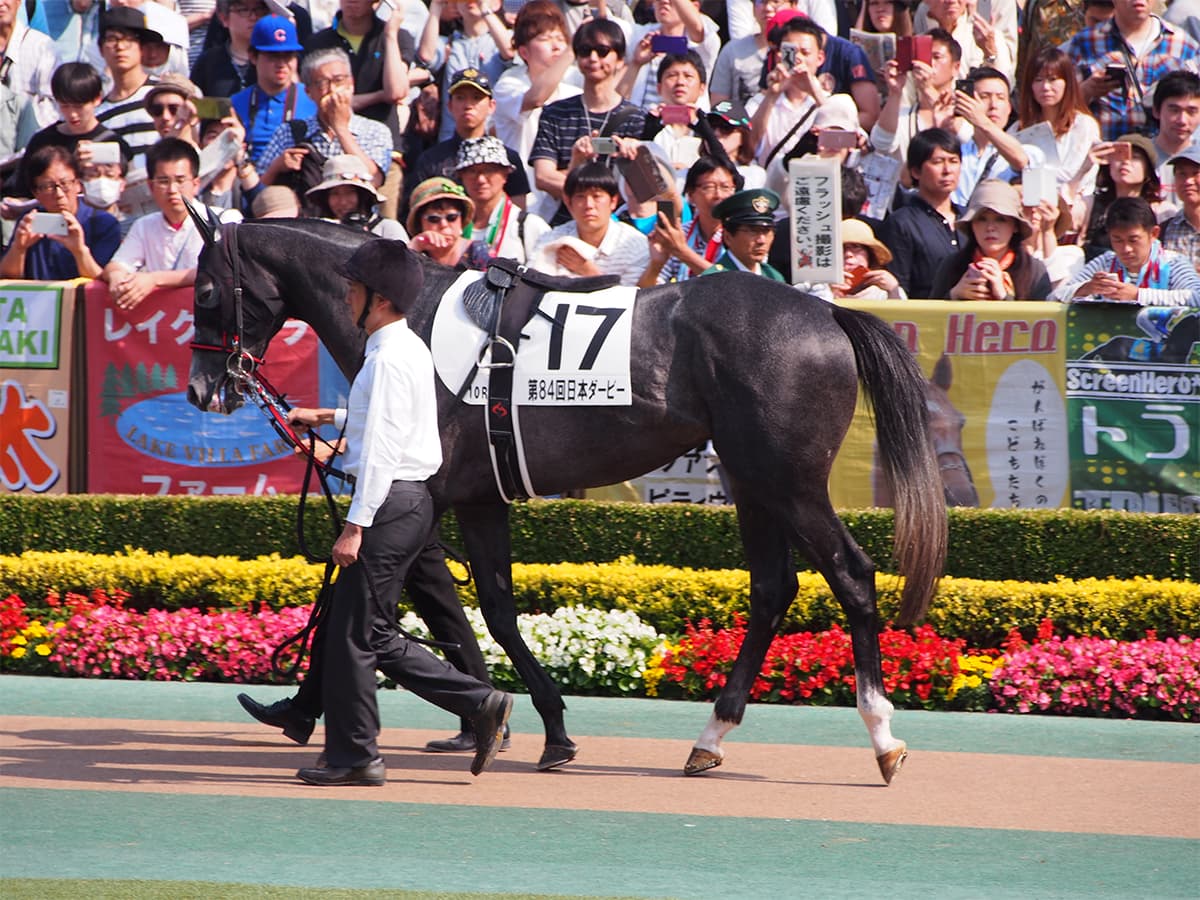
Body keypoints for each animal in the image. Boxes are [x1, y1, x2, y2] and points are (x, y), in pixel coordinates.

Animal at [187, 220, 948, 784]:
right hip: (752, 478)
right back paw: (711, 736)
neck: (416, 321)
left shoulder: (426, 486)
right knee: (772, 588)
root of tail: (826, 311)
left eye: (204, 291)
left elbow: (370, 593)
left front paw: (303, 709)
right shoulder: (478, 496)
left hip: (789, 480)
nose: (202, 389)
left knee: (850, 574)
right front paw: (539, 725)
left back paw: (881, 734)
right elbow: (493, 606)